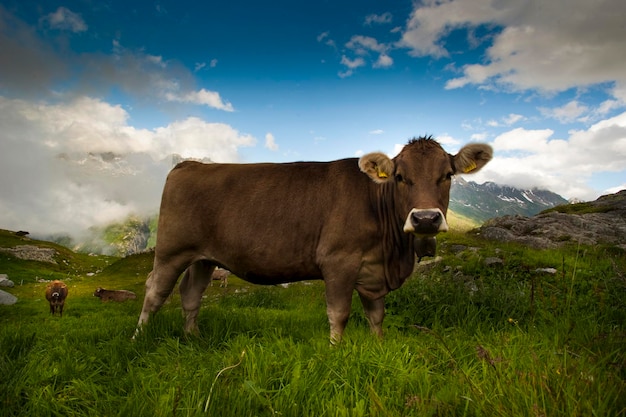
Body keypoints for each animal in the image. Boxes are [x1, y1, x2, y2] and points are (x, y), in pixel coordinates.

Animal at [136, 136, 492, 342]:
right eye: (401, 177)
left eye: (447, 175)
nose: (426, 219)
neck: (393, 254)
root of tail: (188, 165)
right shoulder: (338, 261)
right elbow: (339, 314)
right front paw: (337, 352)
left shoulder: (373, 270)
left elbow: (377, 316)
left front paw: (378, 347)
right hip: (171, 250)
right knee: (154, 291)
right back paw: (138, 339)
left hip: (204, 258)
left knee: (191, 294)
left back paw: (192, 338)